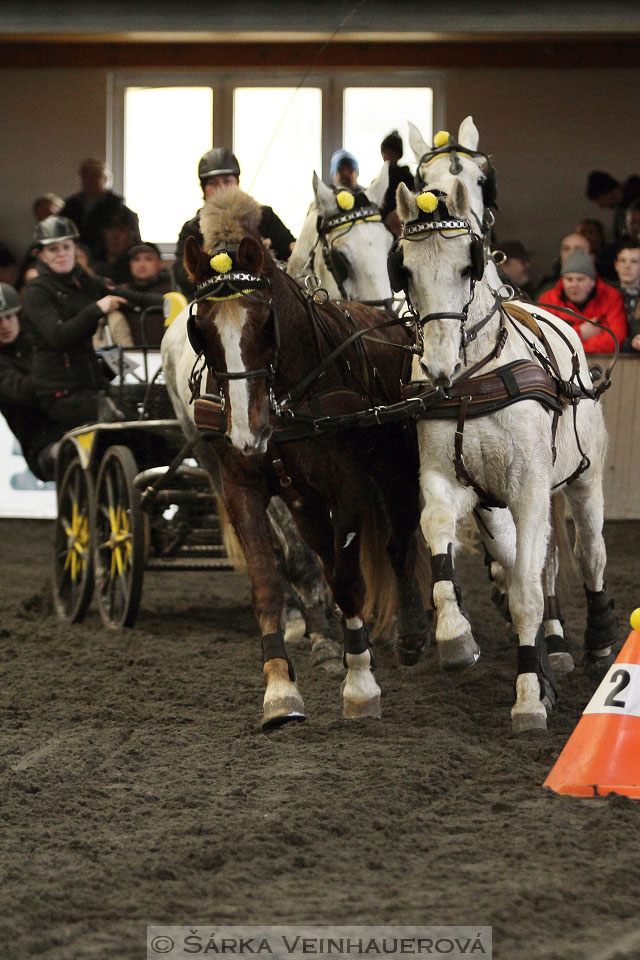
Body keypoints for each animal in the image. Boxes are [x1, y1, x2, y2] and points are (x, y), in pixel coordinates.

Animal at [165, 186, 432, 728]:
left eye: (265, 323)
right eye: (202, 329)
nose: (247, 432)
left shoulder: (347, 486)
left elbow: (349, 579)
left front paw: (359, 681)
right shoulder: (242, 487)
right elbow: (270, 581)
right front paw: (281, 689)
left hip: (392, 468)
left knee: (398, 539)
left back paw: (409, 634)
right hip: (280, 493)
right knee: (315, 555)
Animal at [396, 178, 616, 736]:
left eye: (466, 266)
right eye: (405, 268)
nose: (438, 366)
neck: (474, 380)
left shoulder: (532, 491)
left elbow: (527, 597)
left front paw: (529, 698)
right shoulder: (450, 481)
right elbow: (437, 528)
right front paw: (456, 637)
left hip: (583, 482)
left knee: (589, 555)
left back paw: (600, 642)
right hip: (496, 511)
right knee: (531, 564)